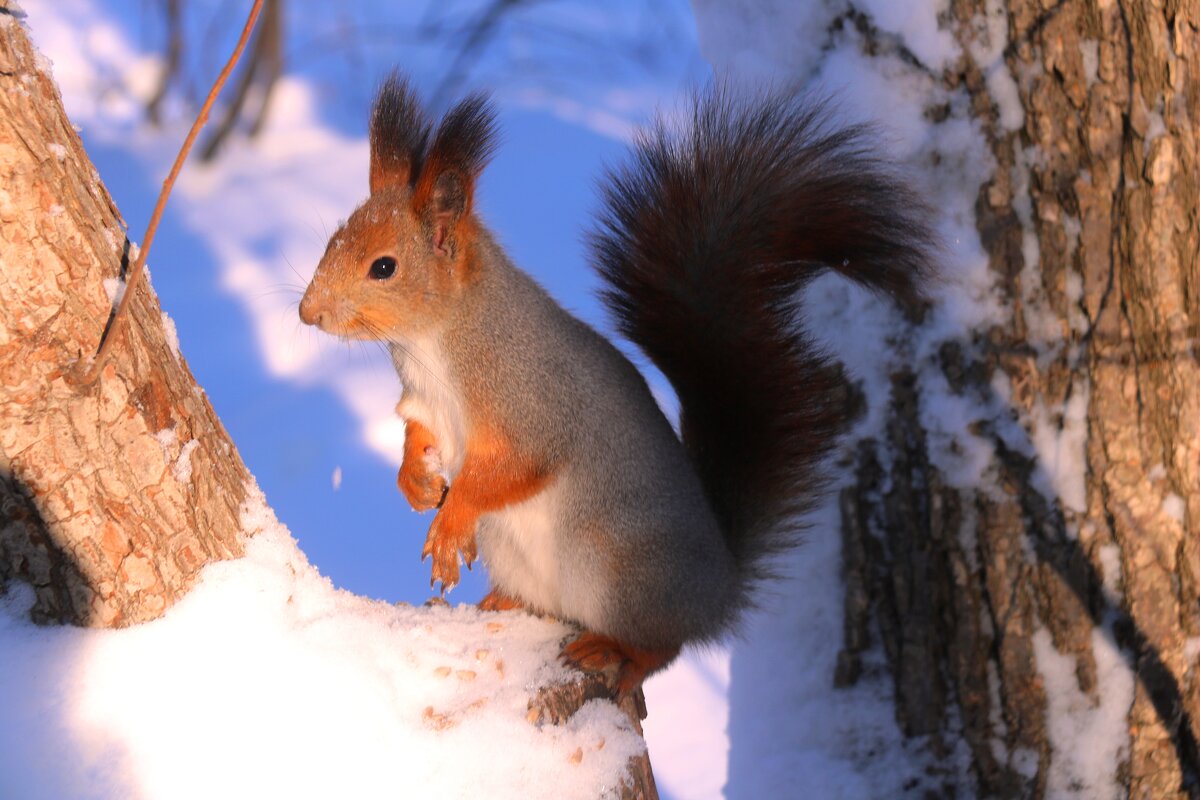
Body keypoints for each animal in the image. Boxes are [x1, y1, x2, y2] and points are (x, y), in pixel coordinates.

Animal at [300, 71, 936, 690]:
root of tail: (719, 591)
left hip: (619, 573)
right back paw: (499, 604)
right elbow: (417, 434)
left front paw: (451, 523)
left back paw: (611, 651)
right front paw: (418, 485)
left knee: (664, 646)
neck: (433, 343)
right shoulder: (424, 401)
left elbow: (510, 469)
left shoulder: (531, 401)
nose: (308, 313)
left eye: (384, 267)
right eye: (332, 240)